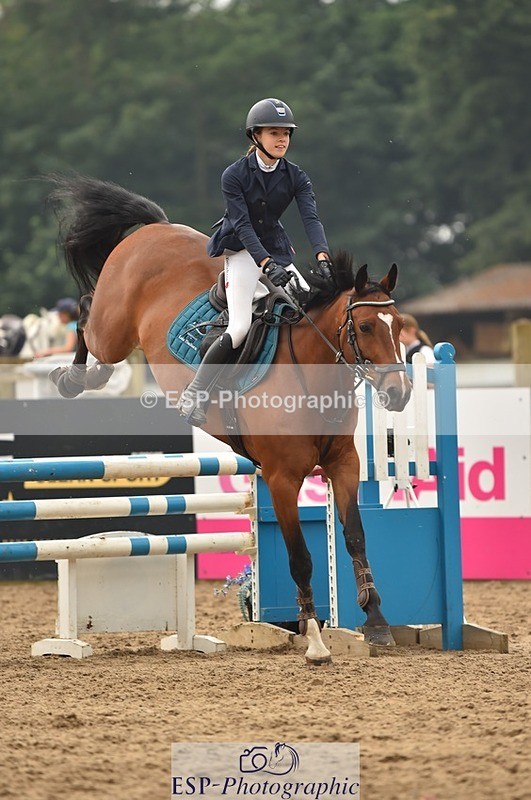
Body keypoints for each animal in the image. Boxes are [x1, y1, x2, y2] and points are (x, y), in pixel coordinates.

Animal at [48, 174, 412, 666]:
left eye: (399, 325)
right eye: (368, 327)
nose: (400, 393)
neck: (310, 376)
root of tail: (156, 228)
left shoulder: (343, 466)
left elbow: (355, 536)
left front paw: (375, 621)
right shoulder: (281, 478)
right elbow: (301, 557)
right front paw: (315, 639)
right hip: (112, 327)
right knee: (86, 314)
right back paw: (70, 378)